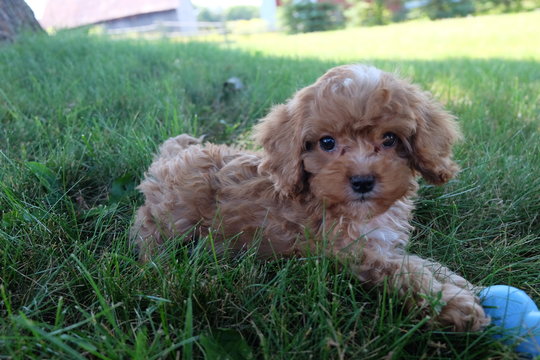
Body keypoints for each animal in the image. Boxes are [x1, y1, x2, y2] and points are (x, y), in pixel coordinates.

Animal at [132, 65, 490, 332]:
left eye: (389, 139)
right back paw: (162, 268)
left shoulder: (381, 242)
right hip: (173, 215)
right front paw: (452, 304)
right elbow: (402, 273)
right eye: (326, 142)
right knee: (147, 233)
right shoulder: (349, 252)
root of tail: (173, 153)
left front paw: (462, 284)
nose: (362, 181)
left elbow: (418, 263)